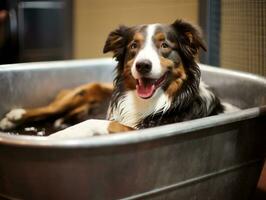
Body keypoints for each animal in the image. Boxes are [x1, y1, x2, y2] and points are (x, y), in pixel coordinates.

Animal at [0, 19, 238, 138]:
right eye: (134, 46)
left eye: (164, 45)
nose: (142, 65)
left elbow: (98, 122)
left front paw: (59, 136)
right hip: (81, 92)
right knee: (50, 109)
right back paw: (14, 116)